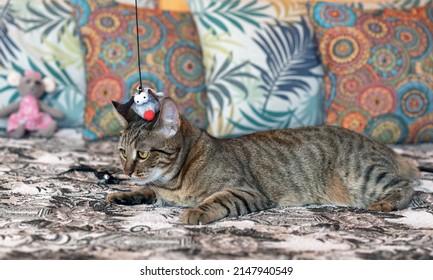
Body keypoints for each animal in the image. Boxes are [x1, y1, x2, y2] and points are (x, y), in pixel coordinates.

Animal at [107, 97, 418, 224]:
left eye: (143, 154)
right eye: (122, 152)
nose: (126, 170)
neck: (173, 184)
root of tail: (379, 144)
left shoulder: (246, 191)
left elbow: (217, 200)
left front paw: (196, 211)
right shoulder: (158, 190)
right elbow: (147, 190)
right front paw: (124, 193)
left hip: (362, 176)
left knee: (408, 187)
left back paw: (386, 203)